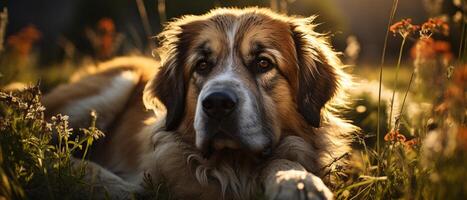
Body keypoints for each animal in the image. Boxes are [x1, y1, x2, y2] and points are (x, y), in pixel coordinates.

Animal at [44, 7, 358, 199]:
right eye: (203, 65)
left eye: (263, 63)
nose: (217, 103)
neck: (235, 165)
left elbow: (284, 159)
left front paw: (298, 182)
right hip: (112, 86)